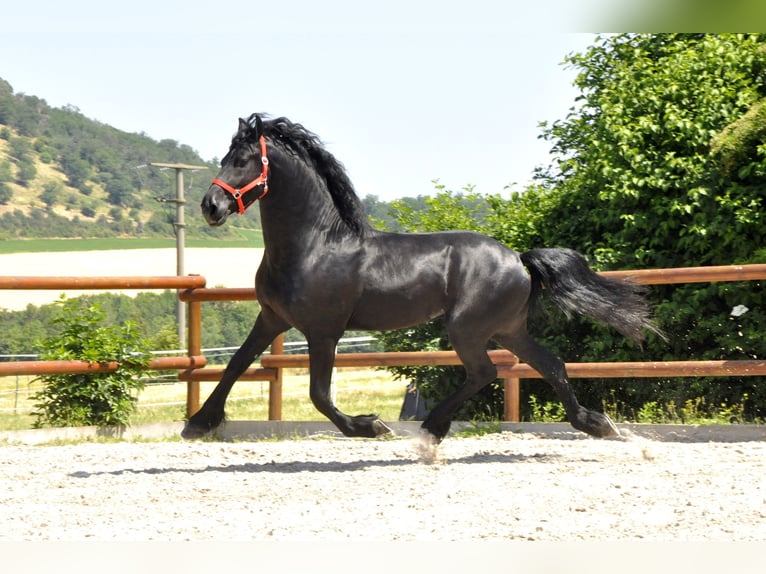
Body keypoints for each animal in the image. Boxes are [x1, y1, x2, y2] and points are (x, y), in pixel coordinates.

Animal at [183, 112, 664, 446]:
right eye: (224, 158)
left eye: (245, 160)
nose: (210, 206)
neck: (315, 245)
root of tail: (518, 258)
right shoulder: (272, 318)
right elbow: (235, 366)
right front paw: (198, 424)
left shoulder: (324, 331)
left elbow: (320, 395)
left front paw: (371, 426)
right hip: (506, 329)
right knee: (549, 364)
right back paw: (596, 424)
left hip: (468, 327)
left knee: (484, 371)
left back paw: (432, 427)